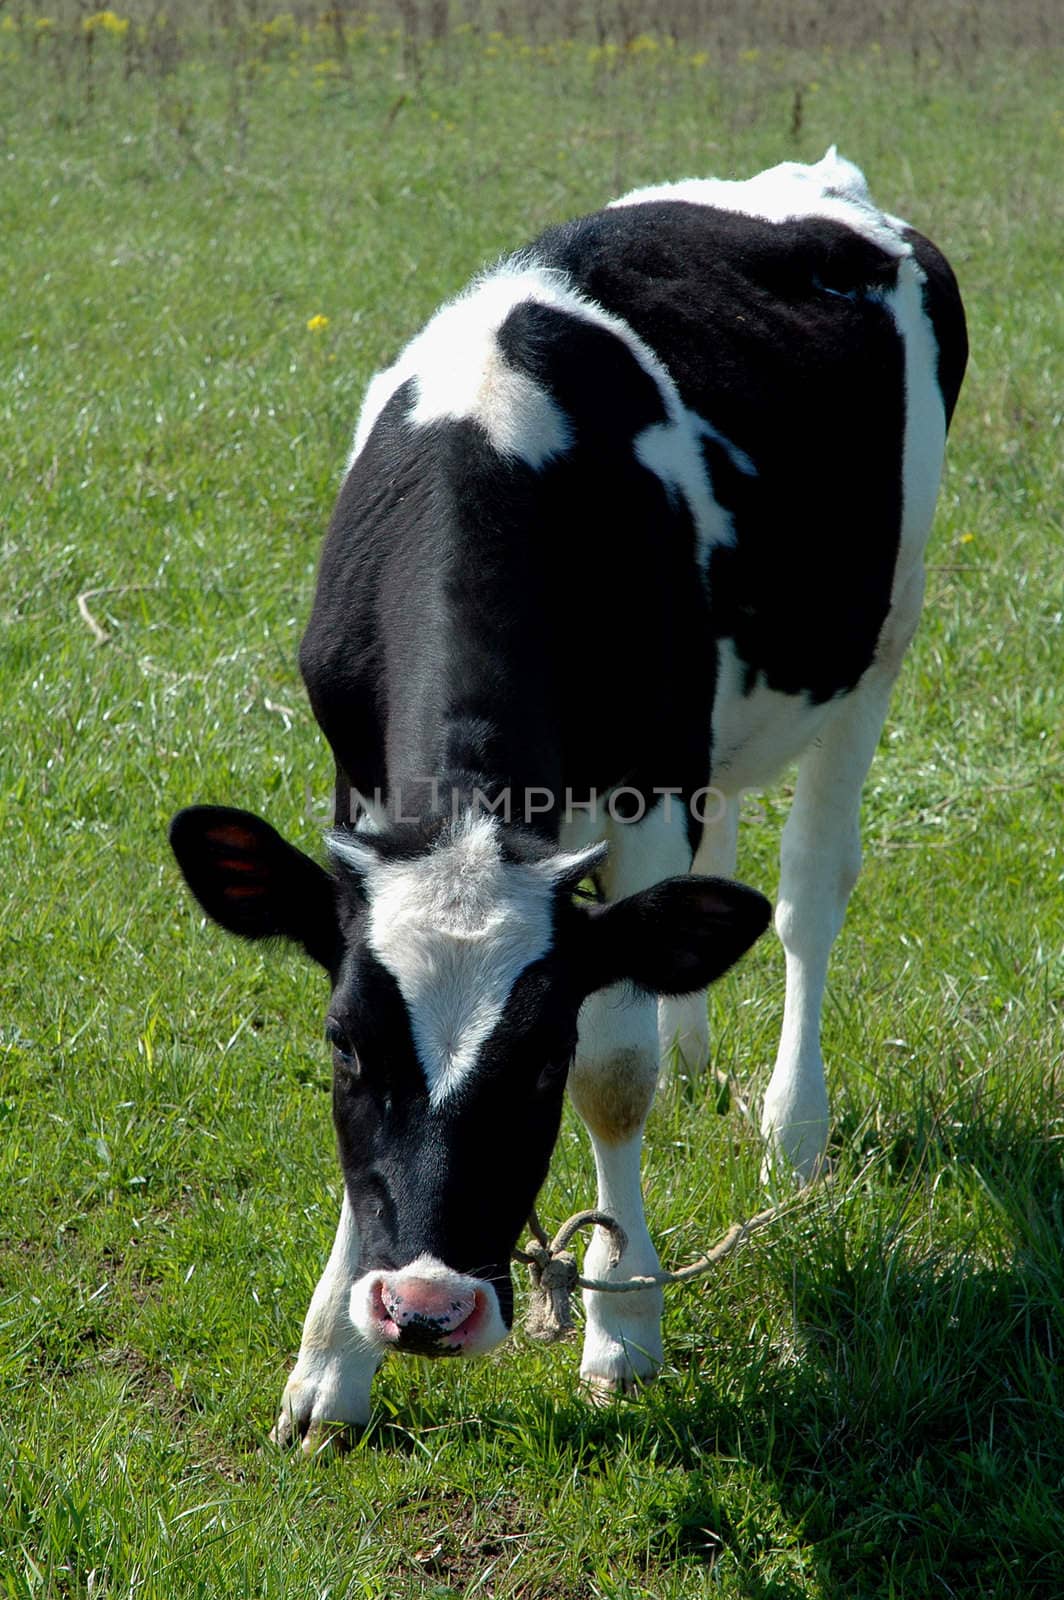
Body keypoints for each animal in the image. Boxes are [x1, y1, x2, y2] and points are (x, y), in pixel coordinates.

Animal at [168, 150, 960, 1452]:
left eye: (536, 1061)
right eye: (341, 1043)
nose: (424, 1306)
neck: (495, 447)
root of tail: (815, 176)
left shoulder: (648, 781)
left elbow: (617, 1070)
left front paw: (622, 1324)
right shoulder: (358, 776)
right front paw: (333, 1355)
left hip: (879, 637)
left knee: (804, 892)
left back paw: (788, 1130)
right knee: (711, 879)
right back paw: (703, 1058)